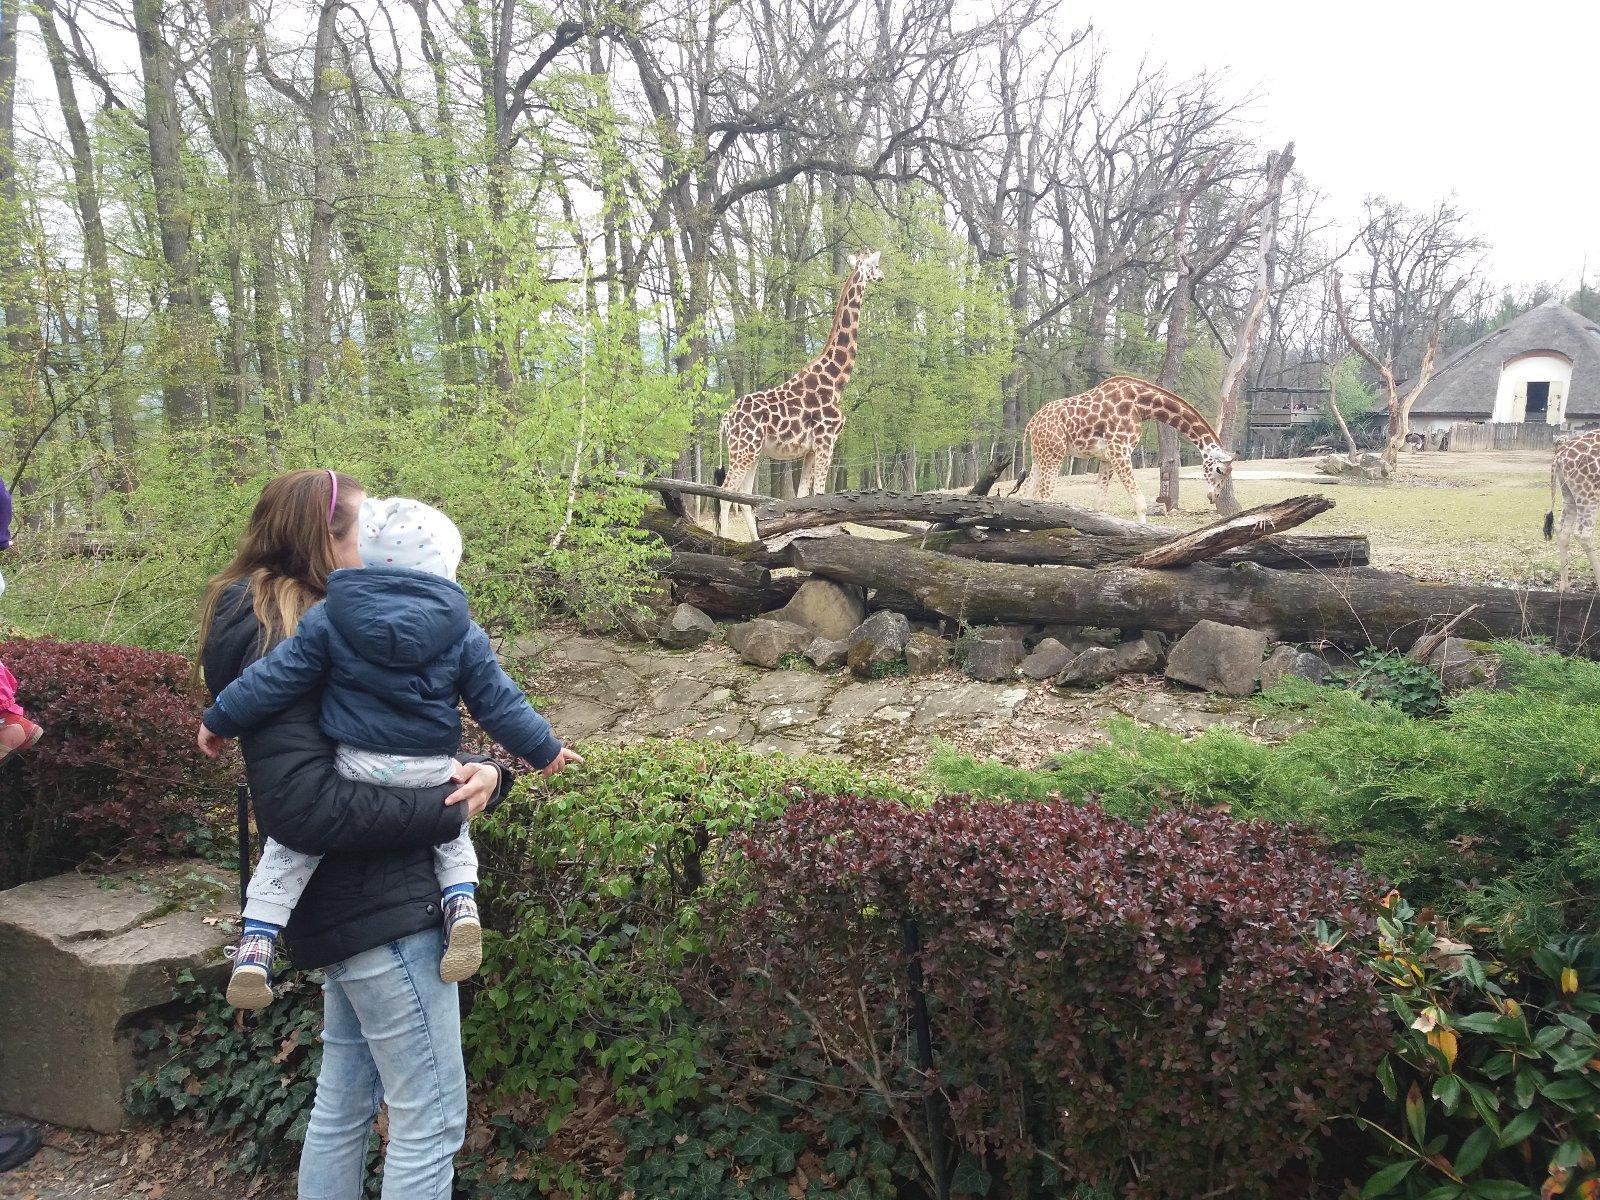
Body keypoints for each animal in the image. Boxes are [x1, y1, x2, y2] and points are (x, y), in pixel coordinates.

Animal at [715, 250, 884, 540]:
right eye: (874, 265)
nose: (882, 276)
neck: (835, 381)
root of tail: (726, 420)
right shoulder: (827, 440)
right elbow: (820, 494)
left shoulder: (810, 449)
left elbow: (803, 497)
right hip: (743, 450)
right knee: (725, 495)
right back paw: (724, 542)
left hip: (752, 452)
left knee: (744, 498)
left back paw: (756, 542)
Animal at [1020, 375, 1234, 522]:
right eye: (1219, 470)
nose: (1213, 496)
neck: (1141, 406)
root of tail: (1031, 422)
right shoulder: (1120, 450)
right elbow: (1141, 504)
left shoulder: (1107, 457)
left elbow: (1098, 505)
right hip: (1054, 455)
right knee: (1045, 497)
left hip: (1040, 455)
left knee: (1027, 495)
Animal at [1545, 428, 1600, 591]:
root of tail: (1558, 456)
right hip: (1588, 495)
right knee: (1584, 534)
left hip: (1568, 492)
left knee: (1562, 529)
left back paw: (1565, 586)